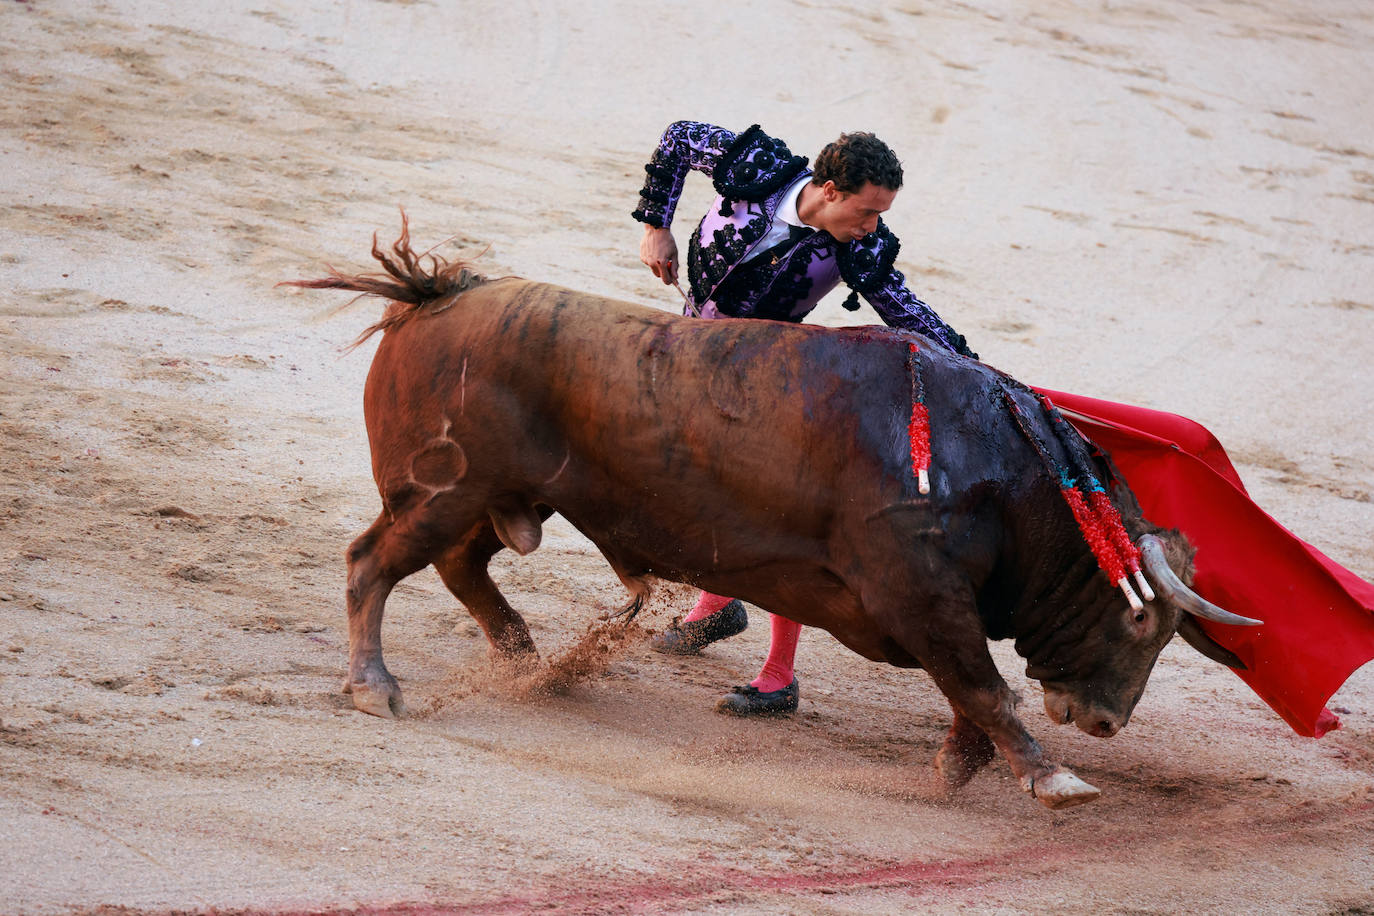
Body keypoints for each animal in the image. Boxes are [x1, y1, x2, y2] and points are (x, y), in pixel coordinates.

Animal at [295, 223, 1258, 807]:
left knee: (460, 567)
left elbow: (972, 692)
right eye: (1145, 625)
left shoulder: (936, 606)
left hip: (490, 502)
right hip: (443, 492)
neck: (1007, 476)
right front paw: (1054, 779)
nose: (1106, 723)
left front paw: (960, 766)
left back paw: (529, 662)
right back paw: (376, 687)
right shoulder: (919, 592)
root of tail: (440, 293)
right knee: (373, 562)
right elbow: (984, 685)